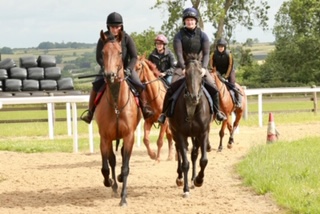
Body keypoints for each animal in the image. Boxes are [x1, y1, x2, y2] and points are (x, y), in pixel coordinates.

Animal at [94, 30, 141, 206]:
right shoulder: (105, 138)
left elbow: (126, 167)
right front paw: (109, 182)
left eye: (120, 52)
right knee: (112, 160)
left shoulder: (129, 136)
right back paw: (113, 184)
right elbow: (106, 167)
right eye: (102, 53)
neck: (116, 105)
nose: (110, 75)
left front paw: (123, 198)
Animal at [168, 53, 212, 197]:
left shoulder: (203, 133)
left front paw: (198, 180)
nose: (194, 97)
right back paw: (180, 178)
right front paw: (186, 189)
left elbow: (203, 160)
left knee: (193, 154)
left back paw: (193, 179)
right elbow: (185, 162)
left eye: (200, 73)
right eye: (186, 74)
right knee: (180, 152)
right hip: (175, 133)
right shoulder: (180, 134)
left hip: (194, 136)